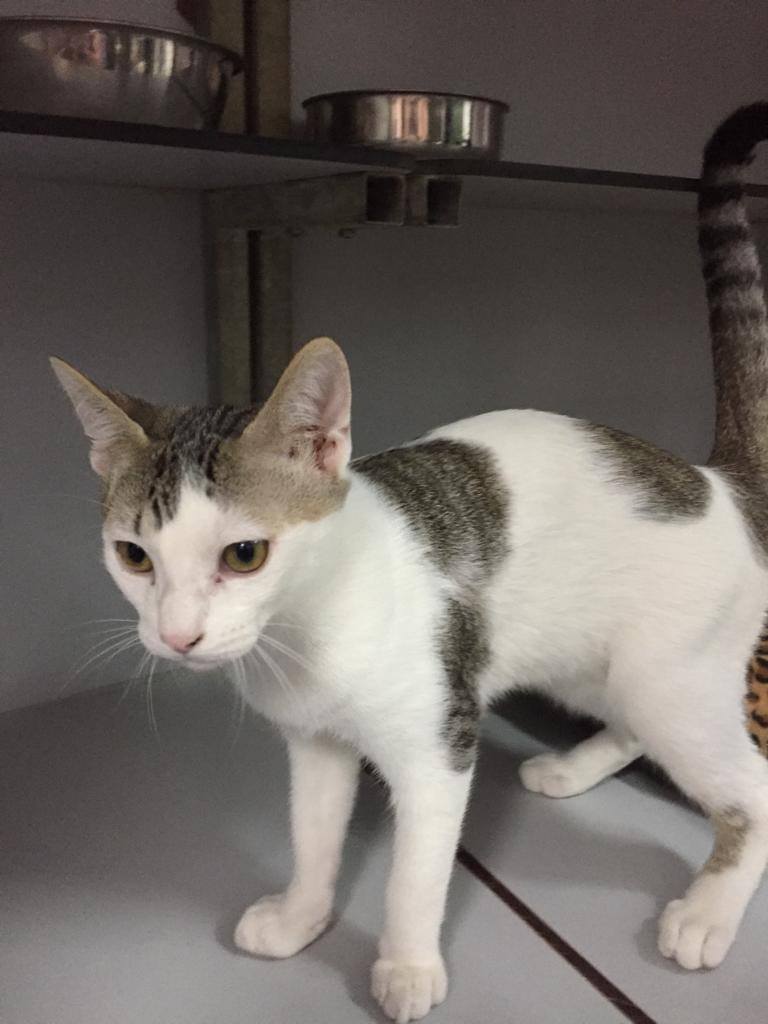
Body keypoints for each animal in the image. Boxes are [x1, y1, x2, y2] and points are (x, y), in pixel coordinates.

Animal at [51, 102, 768, 1023]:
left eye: (244, 554)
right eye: (134, 555)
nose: (176, 637)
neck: (306, 637)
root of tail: (715, 480)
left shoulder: (439, 744)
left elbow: (414, 876)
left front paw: (406, 967)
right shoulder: (317, 746)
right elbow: (313, 837)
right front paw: (301, 917)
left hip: (670, 678)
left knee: (751, 788)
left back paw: (708, 911)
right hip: (593, 666)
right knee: (636, 723)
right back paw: (574, 767)